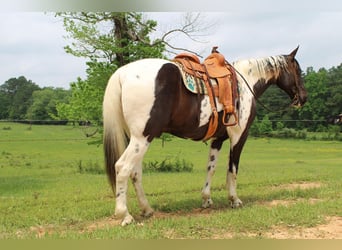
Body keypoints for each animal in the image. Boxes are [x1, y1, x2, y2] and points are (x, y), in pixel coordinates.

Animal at [102, 46, 308, 226]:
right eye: (298, 70)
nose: (303, 98)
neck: (245, 84)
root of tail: (123, 73)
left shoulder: (218, 139)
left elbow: (211, 167)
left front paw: (206, 199)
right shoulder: (239, 136)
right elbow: (232, 169)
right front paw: (234, 200)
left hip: (138, 138)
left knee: (135, 172)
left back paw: (146, 209)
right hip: (142, 137)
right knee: (122, 168)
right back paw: (125, 215)